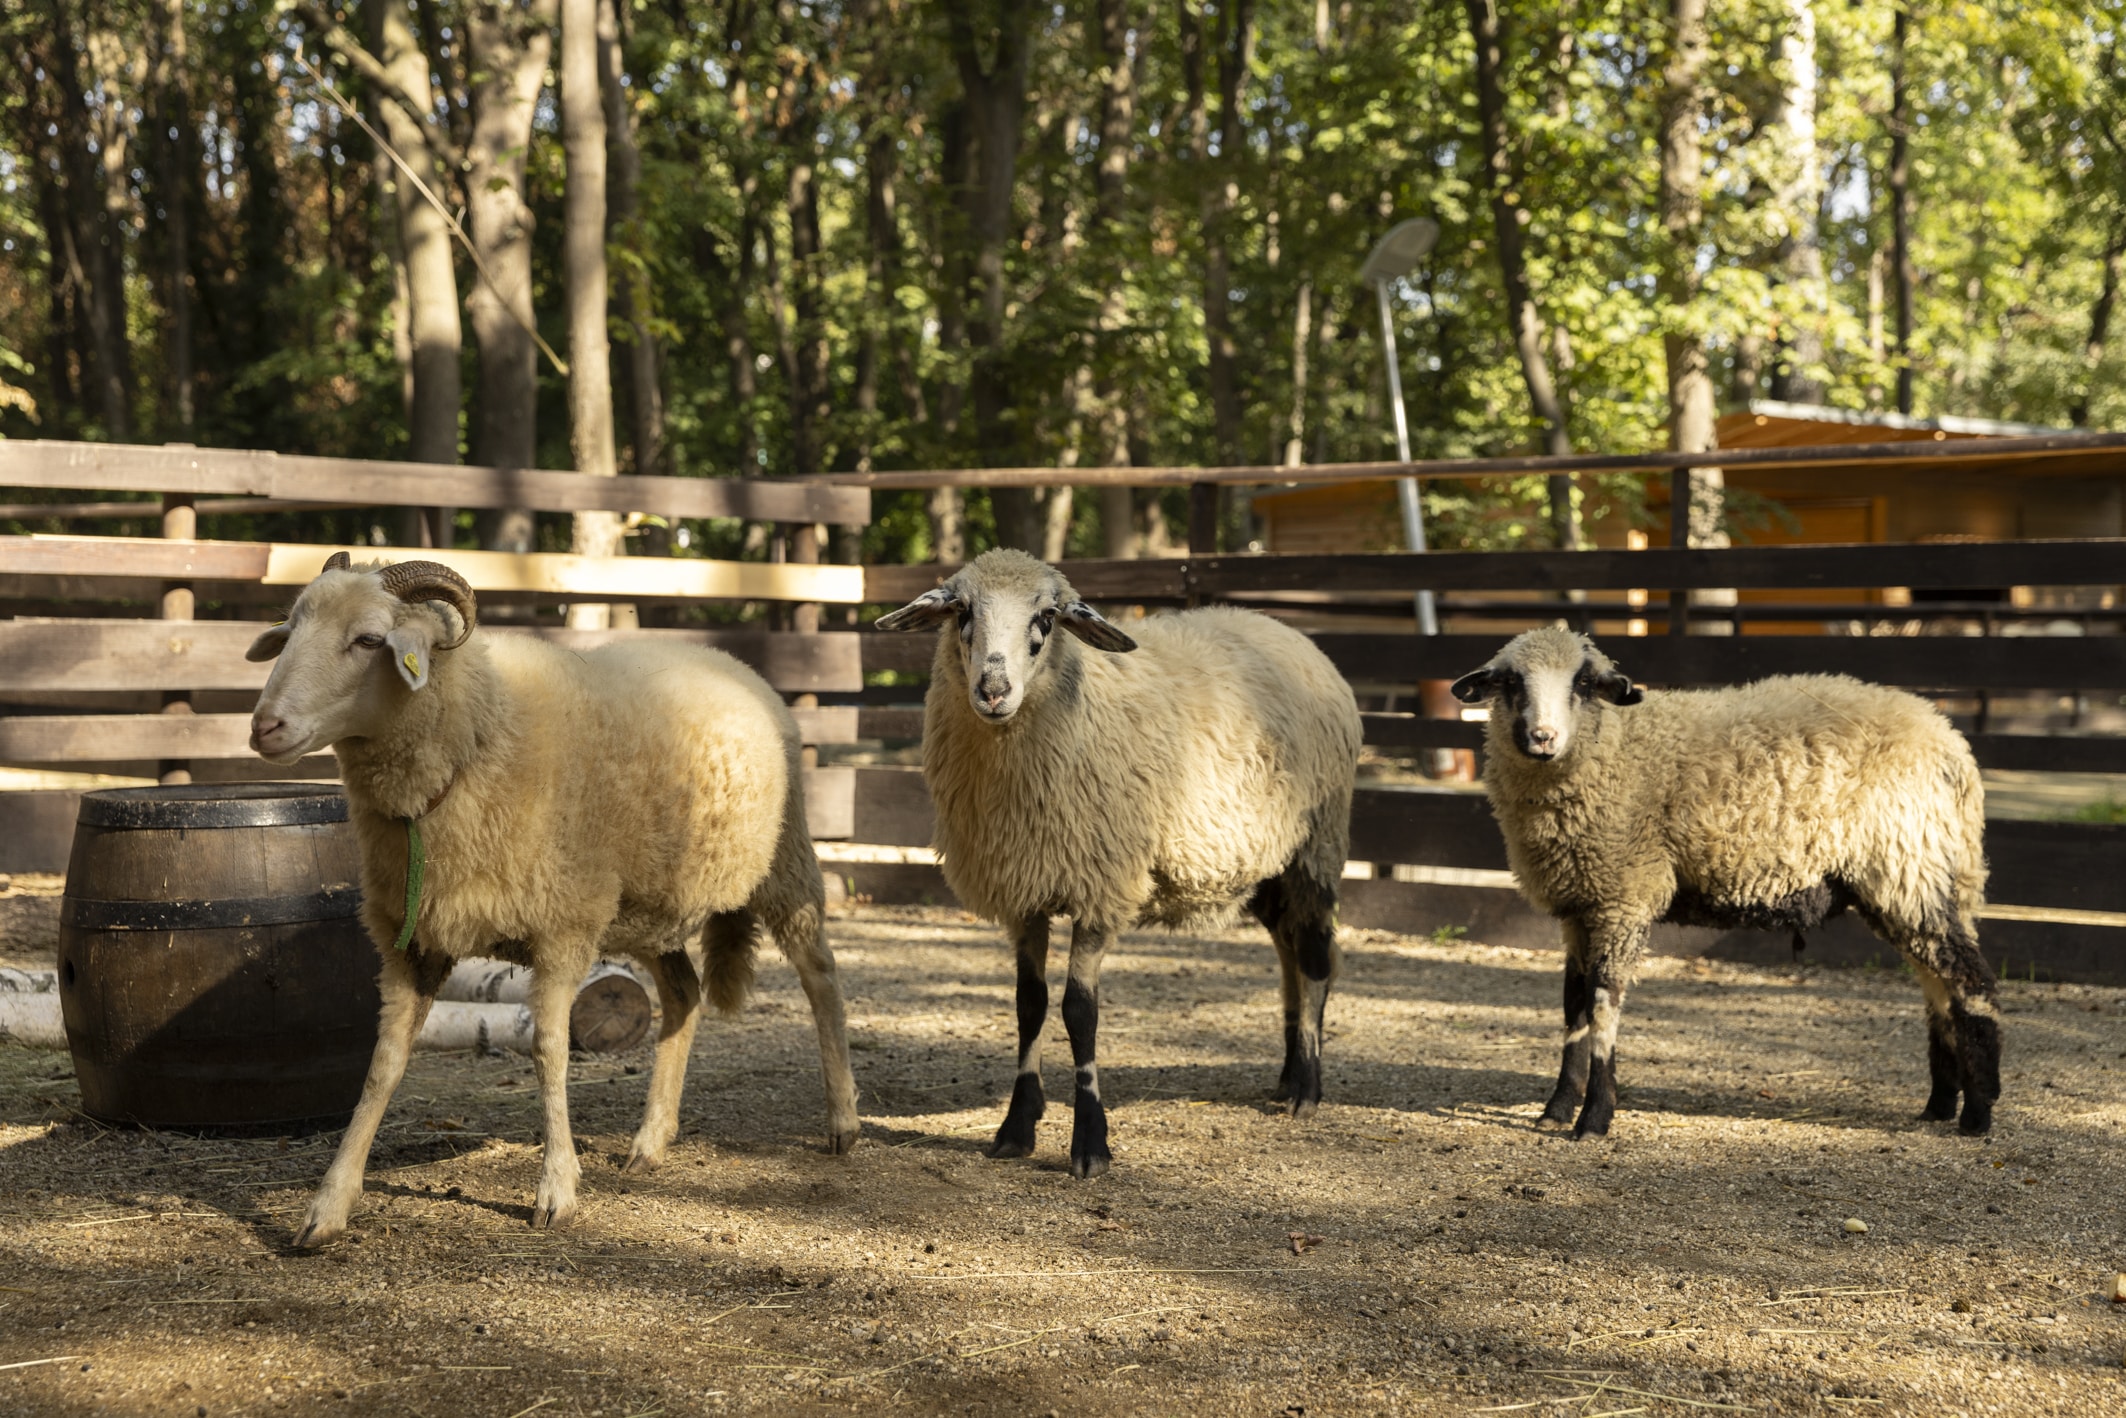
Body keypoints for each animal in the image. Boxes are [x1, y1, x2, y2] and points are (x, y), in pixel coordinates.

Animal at [247, 552, 860, 1246]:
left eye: (370, 640)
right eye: (289, 632)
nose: (264, 726)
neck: (479, 737)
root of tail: (727, 659)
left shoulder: (562, 927)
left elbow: (549, 1051)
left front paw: (556, 1189)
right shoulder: (413, 940)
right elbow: (384, 1063)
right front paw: (328, 1205)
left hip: (785, 863)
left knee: (821, 977)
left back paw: (842, 1121)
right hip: (649, 908)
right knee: (684, 995)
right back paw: (651, 1141)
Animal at [874, 549, 1362, 1178]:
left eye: (1047, 618)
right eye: (961, 612)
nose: (993, 689)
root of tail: (1287, 631)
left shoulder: (1100, 890)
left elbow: (1079, 1011)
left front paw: (1090, 1143)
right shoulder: (1023, 891)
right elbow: (1029, 1005)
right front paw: (1016, 1127)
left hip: (1318, 843)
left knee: (1317, 959)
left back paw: (1306, 1086)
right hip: (1266, 863)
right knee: (1288, 951)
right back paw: (1285, 1075)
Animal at [1450, 625, 2000, 1140]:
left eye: (1582, 683)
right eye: (1511, 682)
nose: (1543, 738)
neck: (1618, 747)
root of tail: (1952, 744)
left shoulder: (1624, 895)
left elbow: (1603, 1005)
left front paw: (1594, 1119)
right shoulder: (1579, 906)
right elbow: (1573, 1008)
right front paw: (1557, 1108)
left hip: (1908, 865)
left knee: (1970, 979)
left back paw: (1978, 1112)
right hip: (1914, 879)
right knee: (1938, 985)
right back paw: (1939, 1104)